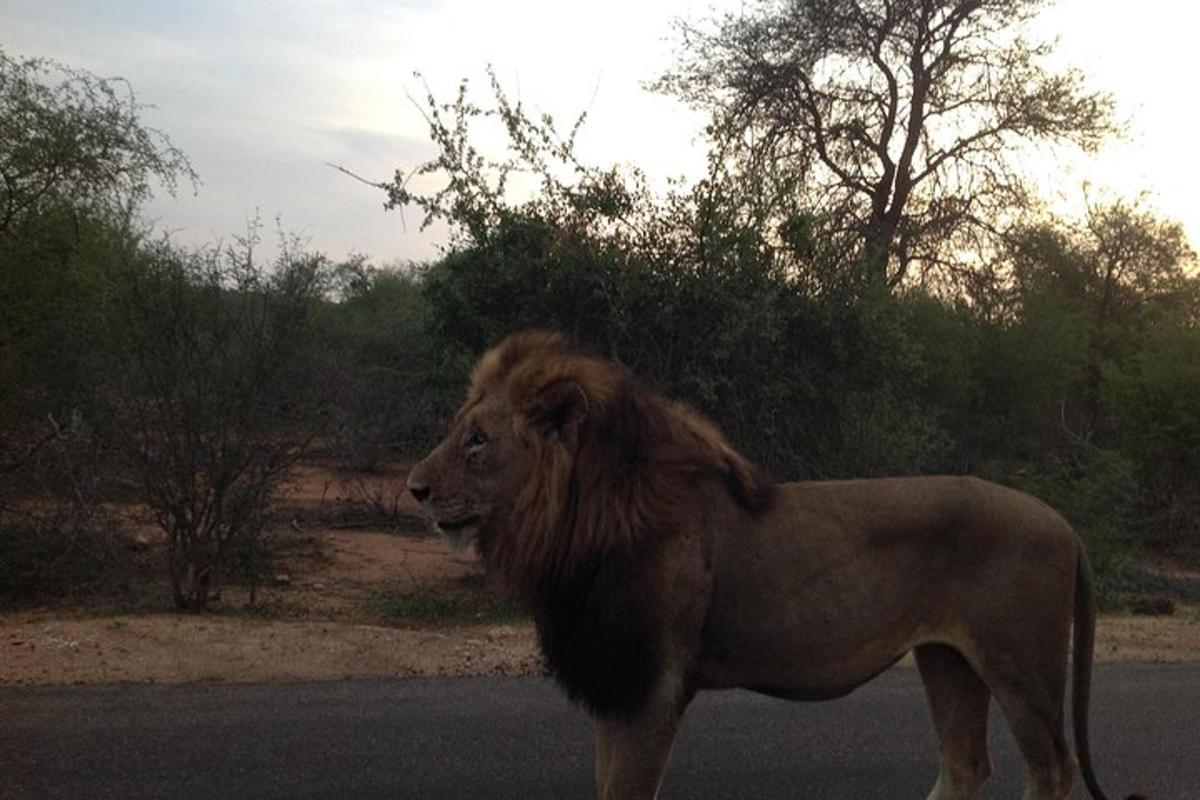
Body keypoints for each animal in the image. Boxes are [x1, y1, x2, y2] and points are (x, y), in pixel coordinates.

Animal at [408, 328, 1137, 796]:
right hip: (949, 659)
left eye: (477, 441)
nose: (414, 489)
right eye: (459, 431)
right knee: (965, 766)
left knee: (1052, 769)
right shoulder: (618, 682)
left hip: (1021, 664)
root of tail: (1065, 525)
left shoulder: (653, 686)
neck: (578, 531)